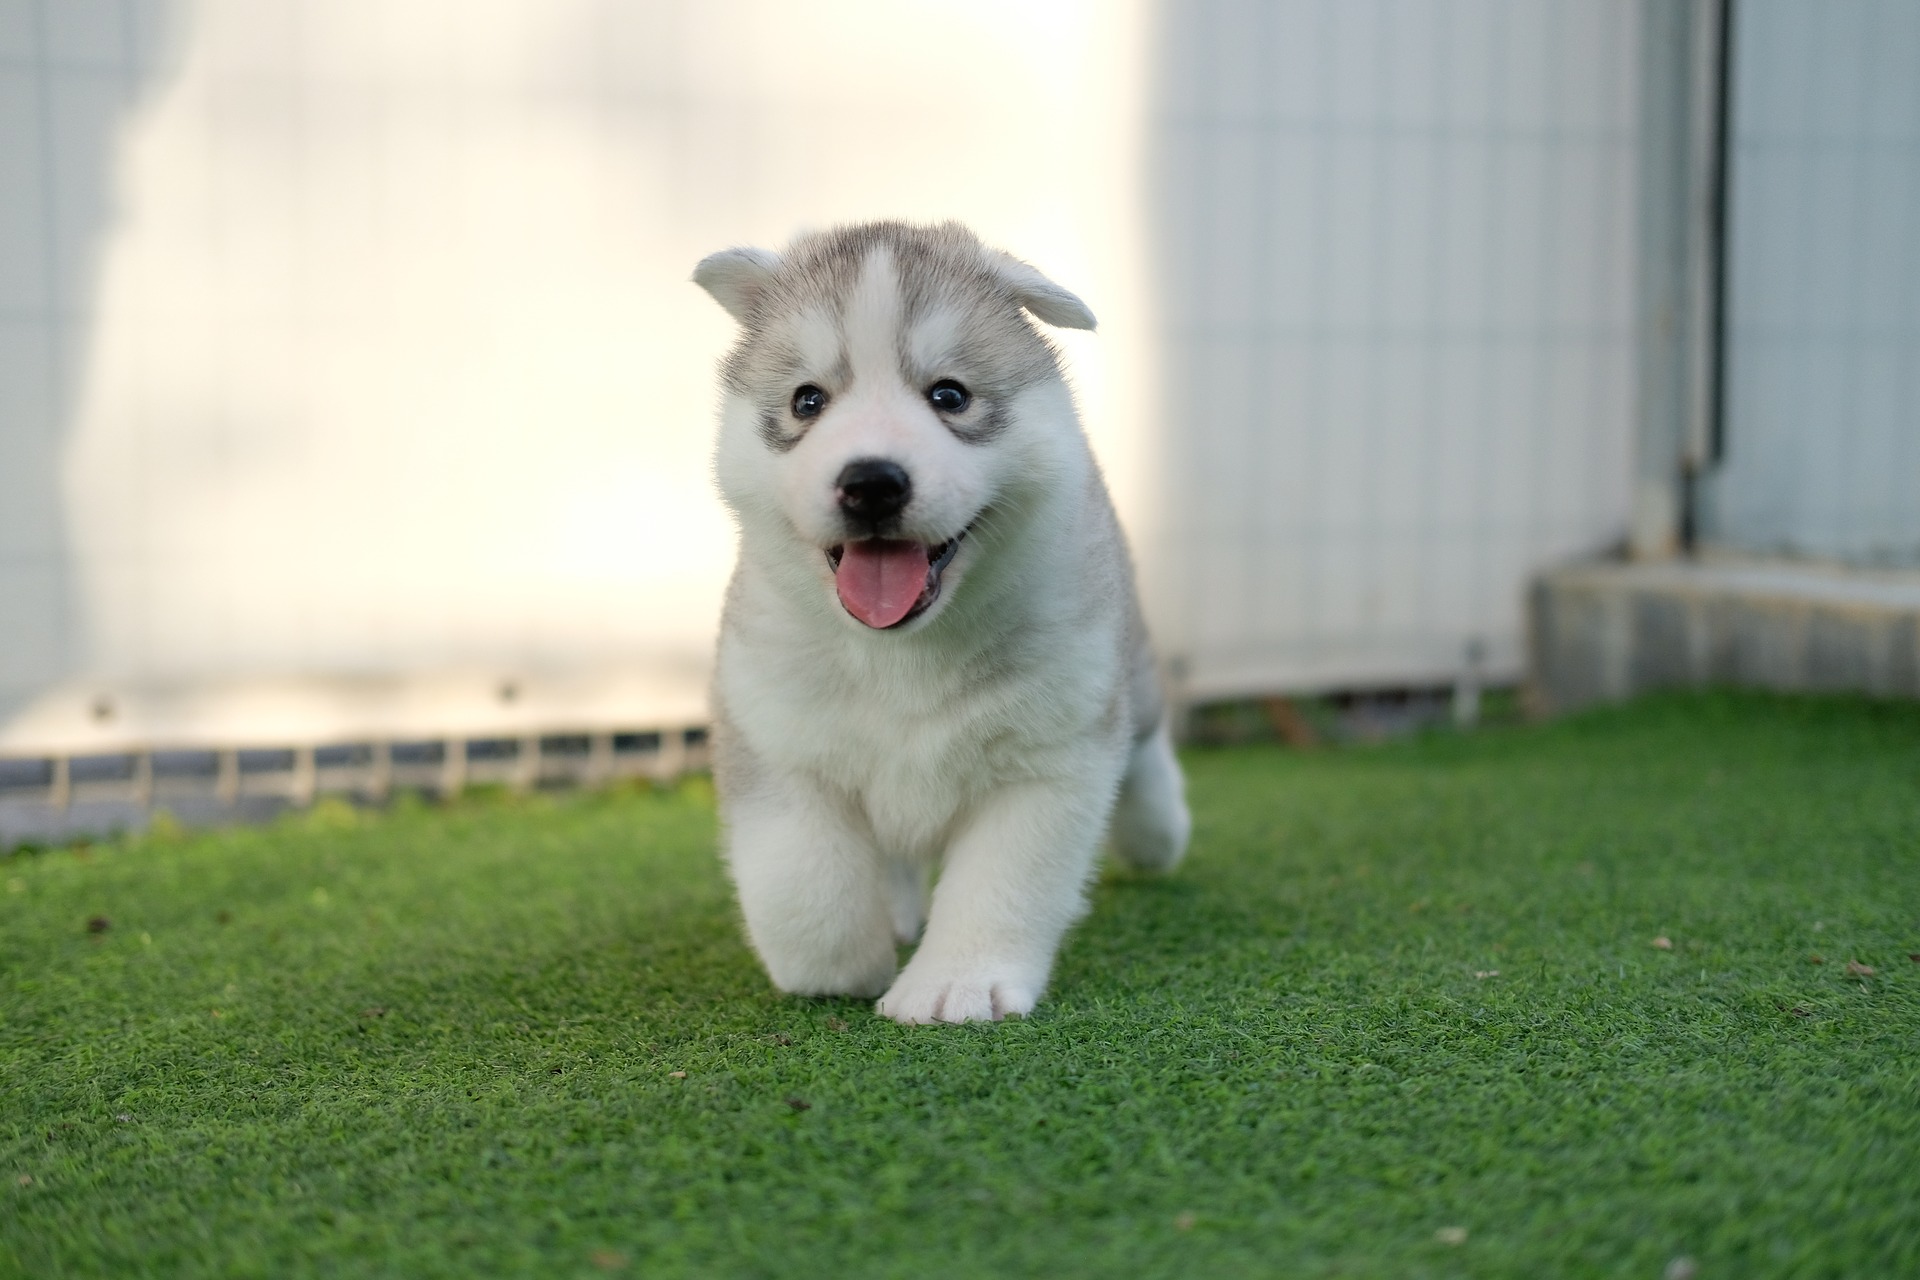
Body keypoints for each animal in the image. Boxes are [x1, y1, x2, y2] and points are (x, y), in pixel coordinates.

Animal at [691, 217, 1182, 1020]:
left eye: (949, 395)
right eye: (807, 401)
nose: (870, 482)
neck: (903, 653)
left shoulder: (1048, 756)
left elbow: (1001, 883)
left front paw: (957, 983)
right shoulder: (776, 733)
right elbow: (802, 879)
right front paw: (838, 969)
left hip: (1125, 673)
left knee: (1145, 747)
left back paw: (1158, 833)